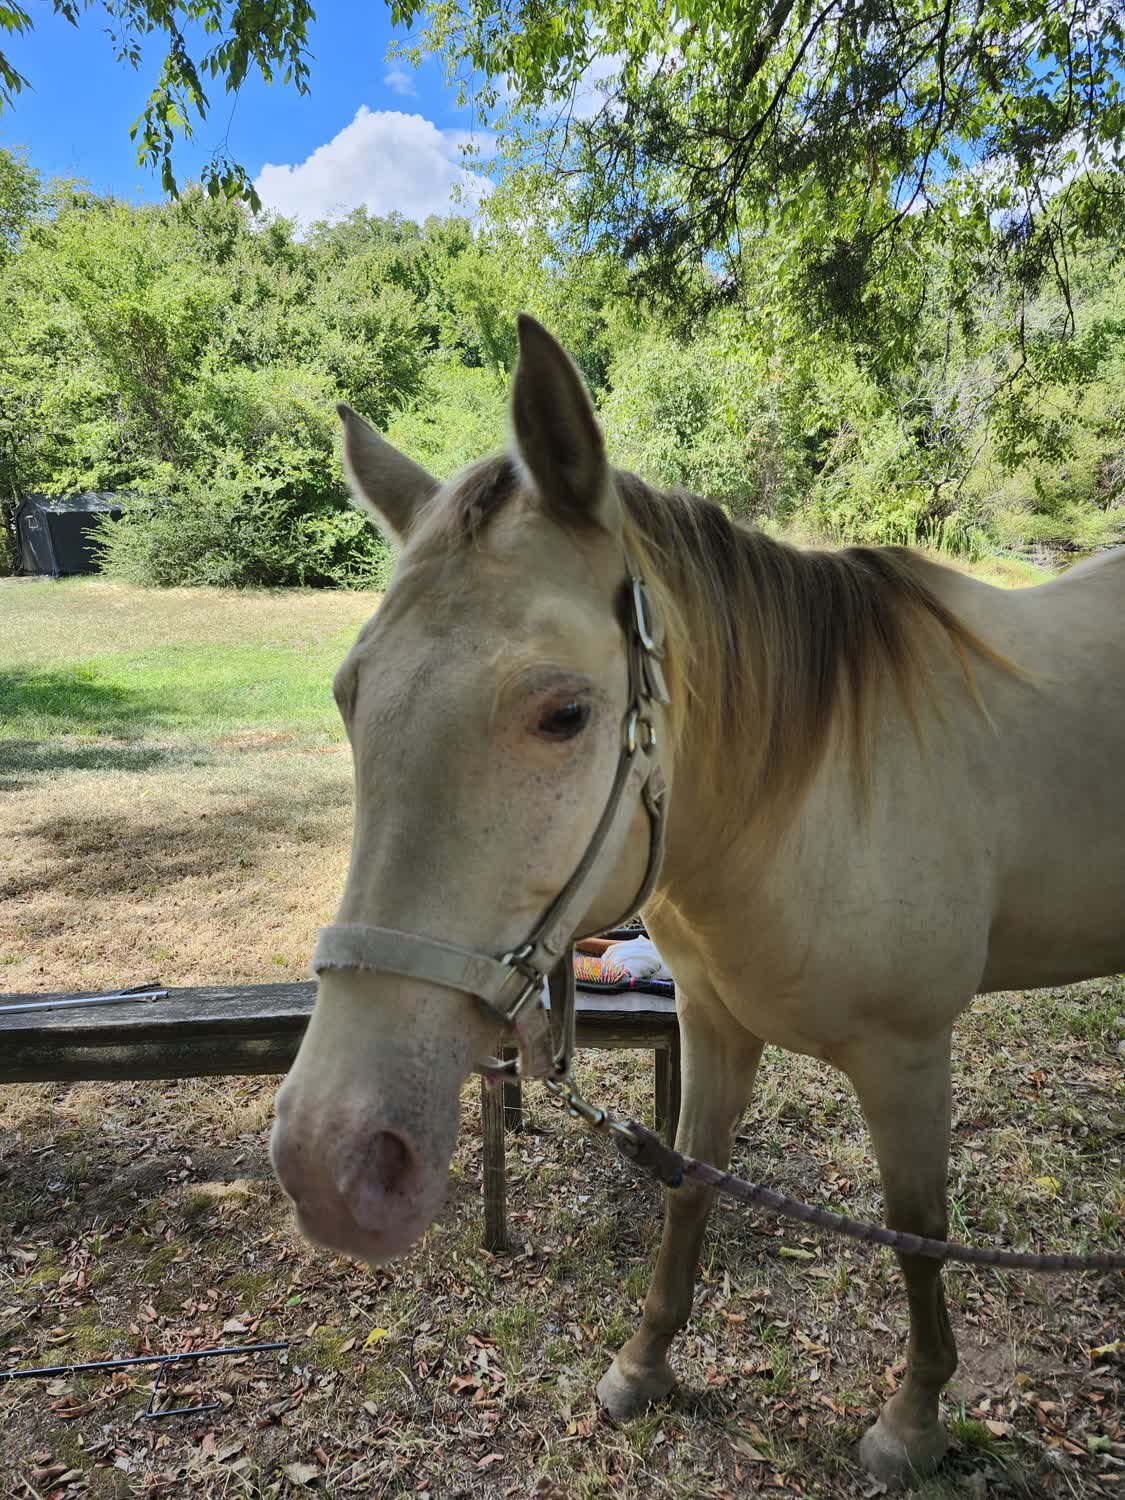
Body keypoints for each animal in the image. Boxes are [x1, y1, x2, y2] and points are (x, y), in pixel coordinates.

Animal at [270, 314, 1125, 1486]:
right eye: (350, 698)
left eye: (565, 713)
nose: (329, 1160)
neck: (804, 801)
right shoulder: (712, 1025)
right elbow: (688, 1187)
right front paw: (644, 1367)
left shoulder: (910, 1054)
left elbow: (916, 1233)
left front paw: (912, 1423)